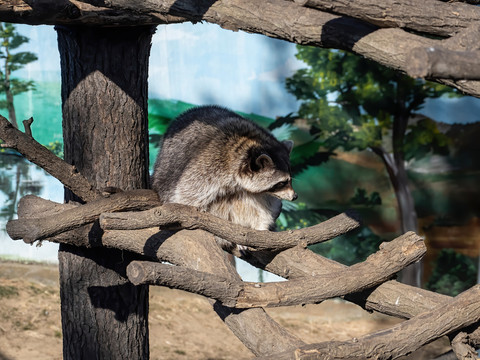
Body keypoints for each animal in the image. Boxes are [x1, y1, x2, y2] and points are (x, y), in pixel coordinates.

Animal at [153, 105, 296, 249]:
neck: (248, 144)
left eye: (289, 180)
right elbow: (185, 197)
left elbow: (266, 204)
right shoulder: (208, 166)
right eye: (282, 183)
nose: (295, 196)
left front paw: (262, 227)